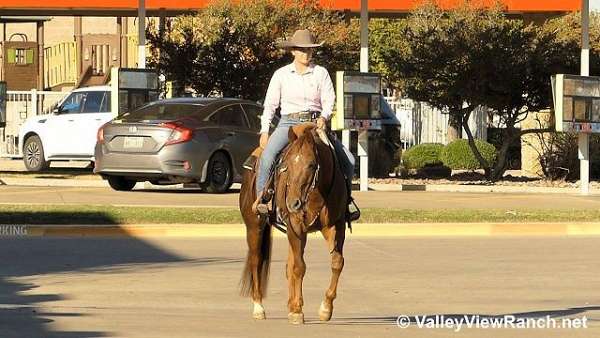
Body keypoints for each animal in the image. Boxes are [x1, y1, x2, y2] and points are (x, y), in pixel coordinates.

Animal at [240, 123, 346, 324]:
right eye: (285, 166)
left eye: (311, 164)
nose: (293, 203)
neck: (315, 192)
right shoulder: (295, 225)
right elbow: (299, 267)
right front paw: (297, 310)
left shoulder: (335, 225)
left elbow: (337, 262)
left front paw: (326, 307)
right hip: (254, 226)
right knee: (256, 260)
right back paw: (258, 307)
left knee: (288, 264)